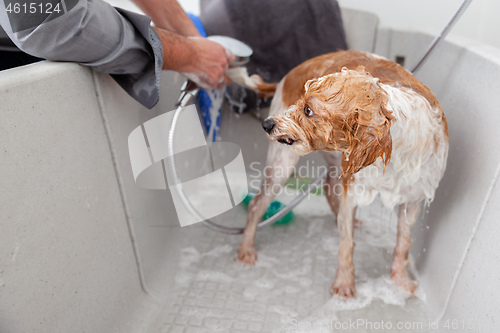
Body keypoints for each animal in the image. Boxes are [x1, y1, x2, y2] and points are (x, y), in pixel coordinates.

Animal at [238, 49, 450, 296]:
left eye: (308, 110)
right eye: (301, 100)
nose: (266, 124)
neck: (394, 152)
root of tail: (289, 73)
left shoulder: (413, 200)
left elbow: (403, 242)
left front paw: (400, 280)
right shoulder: (354, 191)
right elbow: (347, 244)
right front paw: (344, 286)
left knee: (329, 187)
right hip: (282, 163)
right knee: (256, 205)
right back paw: (246, 250)